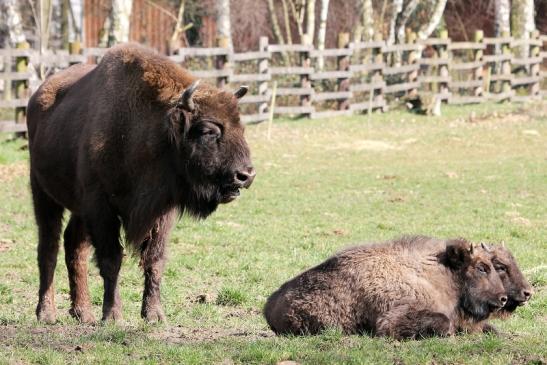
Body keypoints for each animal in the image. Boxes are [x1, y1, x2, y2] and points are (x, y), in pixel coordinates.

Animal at [26, 43, 256, 322]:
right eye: (208, 131)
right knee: (48, 248)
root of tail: (36, 97)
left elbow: (154, 260)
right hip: (43, 193)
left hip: (79, 209)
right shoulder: (101, 208)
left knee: (74, 247)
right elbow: (111, 259)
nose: (246, 175)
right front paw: (113, 315)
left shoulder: (160, 211)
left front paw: (154, 315)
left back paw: (83, 313)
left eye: (241, 128)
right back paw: (46, 313)